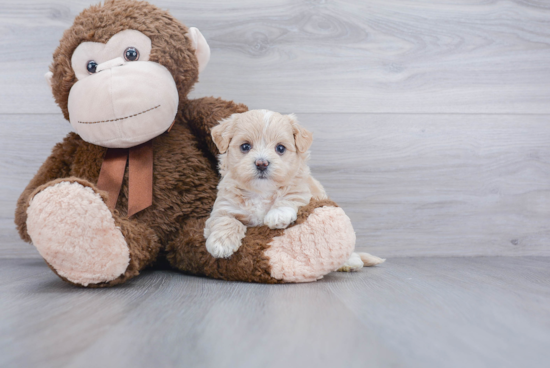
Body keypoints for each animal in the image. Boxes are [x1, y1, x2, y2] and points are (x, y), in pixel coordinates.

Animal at [205, 109, 386, 270]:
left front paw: (278, 214)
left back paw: (351, 262)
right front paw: (221, 243)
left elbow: (290, 196)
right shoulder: (224, 206)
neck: (261, 192)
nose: (262, 163)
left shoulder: (304, 191)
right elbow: (225, 220)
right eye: (245, 147)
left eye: (280, 148)